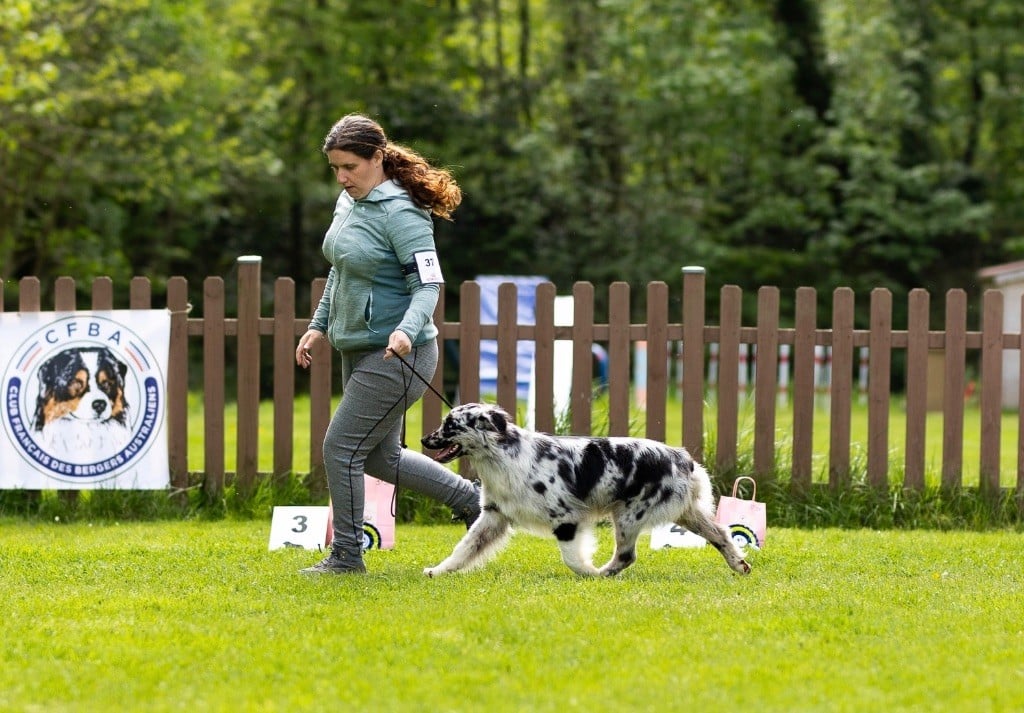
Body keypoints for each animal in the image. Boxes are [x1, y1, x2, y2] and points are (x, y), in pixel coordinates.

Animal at [417, 403, 753, 577]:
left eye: (449, 425)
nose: (423, 439)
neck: (504, 456)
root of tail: (683, 458)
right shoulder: (493, 516)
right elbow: (464, 549)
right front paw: (439, 570)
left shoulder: (566, 519)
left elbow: (572, 559)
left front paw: (589, 574)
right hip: (686, 514)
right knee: (721, 534)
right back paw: (740, 565)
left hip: (629, 516)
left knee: (626, 556)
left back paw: (604, 573)